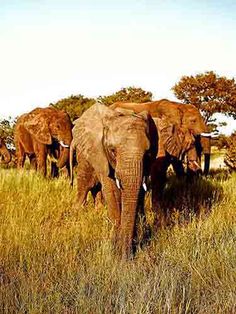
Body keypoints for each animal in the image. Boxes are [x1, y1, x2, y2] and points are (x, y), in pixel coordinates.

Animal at [70, 102, 159, 258]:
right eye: (112, 150)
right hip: (84, 154)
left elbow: (139, 193)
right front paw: (116, 247)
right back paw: (76, 213)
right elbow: (112, 192)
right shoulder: (100, 152)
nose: (127, 257)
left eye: (147, 153)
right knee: (85, 183)